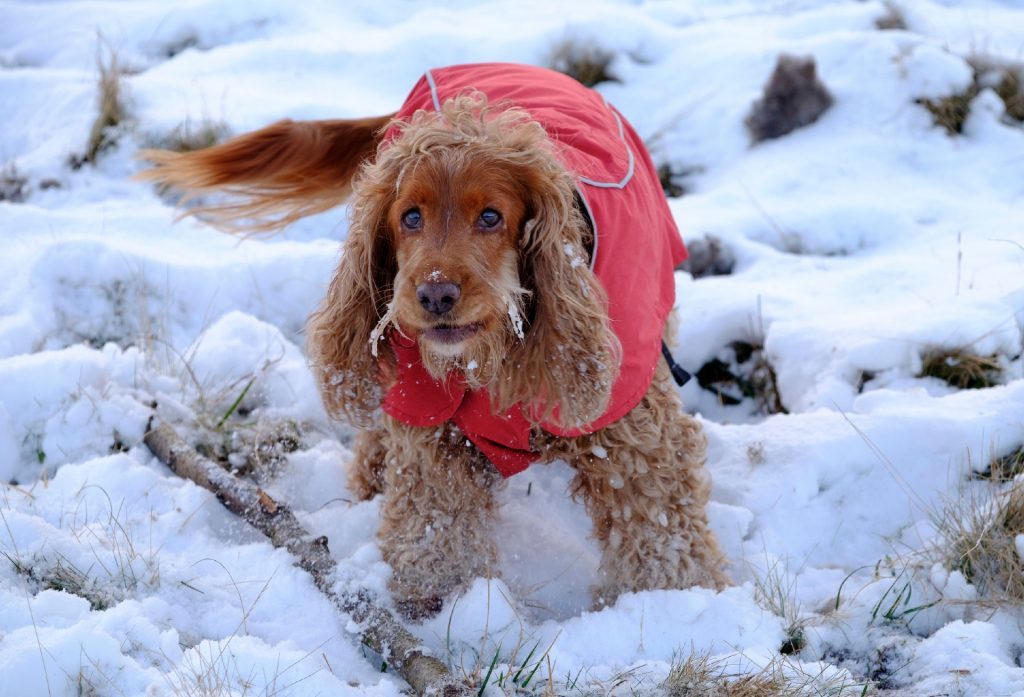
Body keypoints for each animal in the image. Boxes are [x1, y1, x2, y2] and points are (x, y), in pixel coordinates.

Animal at [142, 61, 729, 614]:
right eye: (410, 217)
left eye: (491, 216)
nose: (435, 294)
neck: (491, 356)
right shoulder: (431, 424)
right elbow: (436, 523)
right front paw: (439, 603)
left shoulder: (634, 436)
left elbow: (657, 525)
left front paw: (668, 599)